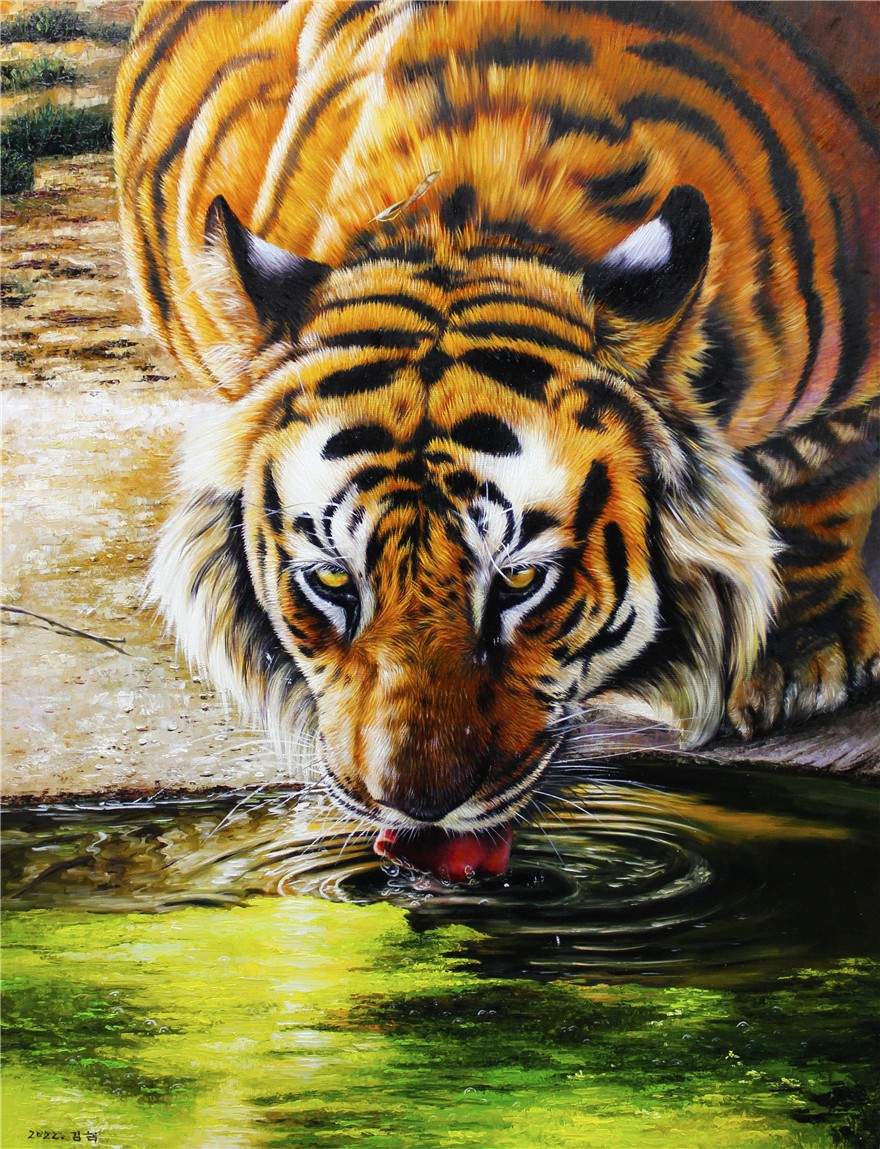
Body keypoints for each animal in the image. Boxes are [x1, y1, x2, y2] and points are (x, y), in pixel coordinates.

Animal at [115, 0, 879, 878]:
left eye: (519, 581)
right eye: (333, 581)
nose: (417, 807)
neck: (467, 214)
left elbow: (824, 473)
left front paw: (799, 656)